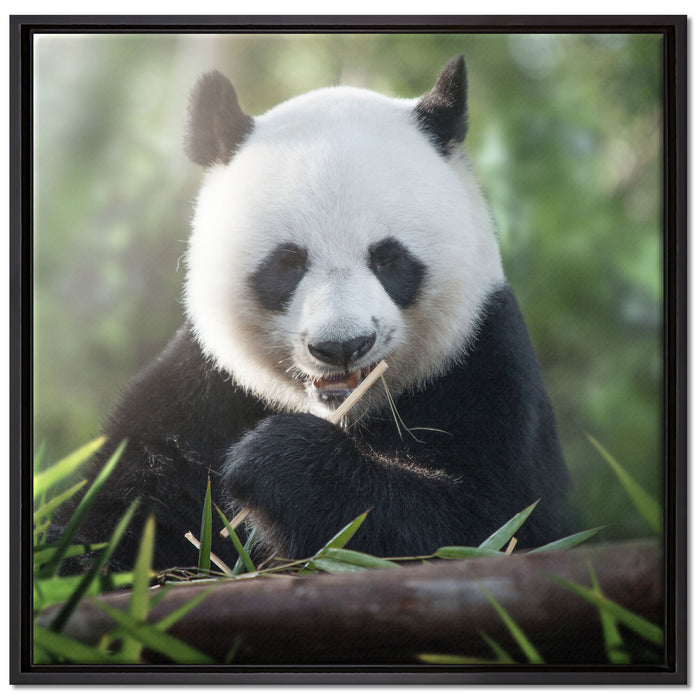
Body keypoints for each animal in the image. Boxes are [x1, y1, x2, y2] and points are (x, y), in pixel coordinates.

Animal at [61, 56, 574, 572]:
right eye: (287, 262)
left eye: (388, 258)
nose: (342, 346)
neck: (342, 412)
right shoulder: (205, 390)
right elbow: (116, 508)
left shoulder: (483, 368)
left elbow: (484, 524)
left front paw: (276, 461)